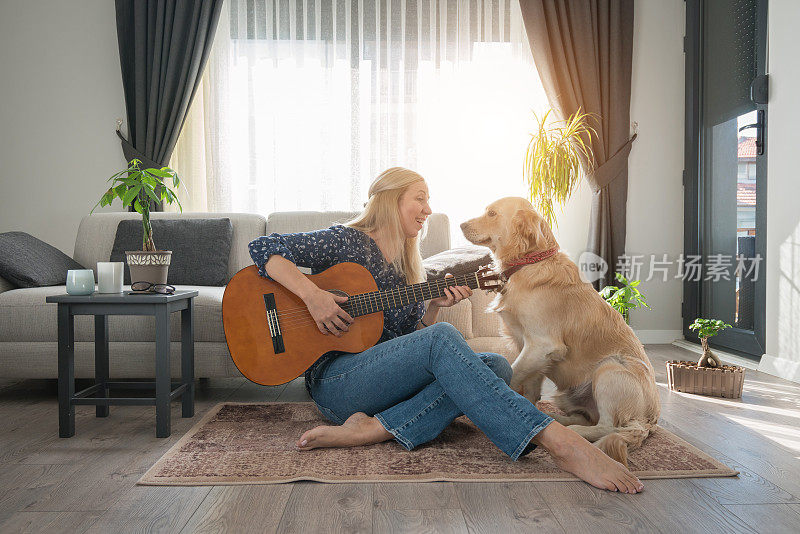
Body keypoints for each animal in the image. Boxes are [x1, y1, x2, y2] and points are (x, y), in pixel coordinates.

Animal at [460, 199, 660, 466]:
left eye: (492, 213)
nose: (461, 225)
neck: (528, 263)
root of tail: (650, 420)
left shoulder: (542, 344)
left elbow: (511, 375)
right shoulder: (530, 348)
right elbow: (529, 388)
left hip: (611, 369)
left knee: (608, 427)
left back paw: (576, 432)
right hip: (569, 395)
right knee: (590, 418)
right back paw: (559, 421)